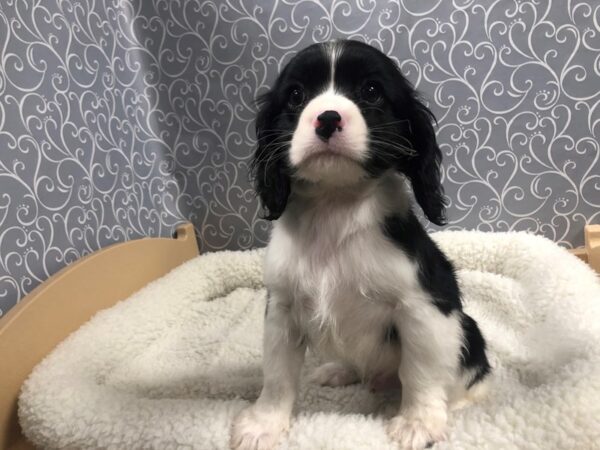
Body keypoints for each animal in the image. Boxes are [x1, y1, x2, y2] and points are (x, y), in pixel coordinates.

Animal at [232, 39, 490, 450]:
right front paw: (265, 424)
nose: (327, 118)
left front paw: (418, 422)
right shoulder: (282, 308)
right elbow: (276, 374)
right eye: (296, 95)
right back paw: (340, 370)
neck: (335, 207)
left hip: (469, 330)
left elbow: (420, 370)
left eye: (371, 91)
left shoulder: (423, 307)